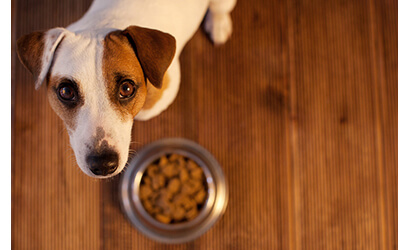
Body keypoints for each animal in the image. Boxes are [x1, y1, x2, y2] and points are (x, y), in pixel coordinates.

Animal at [16, 0, 235, 180]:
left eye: (127, 88)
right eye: (66, 92)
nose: (103, 164)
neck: (103, 24)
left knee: (219, 9)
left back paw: (218, 25)